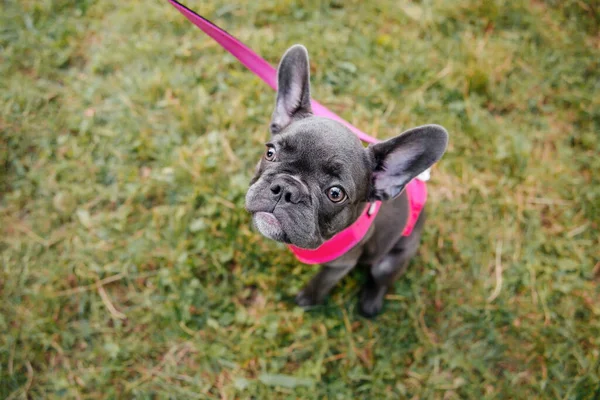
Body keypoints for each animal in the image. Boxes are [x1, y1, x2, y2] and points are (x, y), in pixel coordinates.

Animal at [246, 44, 448, 318]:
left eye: (335, 194)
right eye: (270, 153)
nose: (286, 189)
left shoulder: (340, 265)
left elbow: (320, 283)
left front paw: (305, 300)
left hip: (390, 260)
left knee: (380, 278)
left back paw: (370, 303)